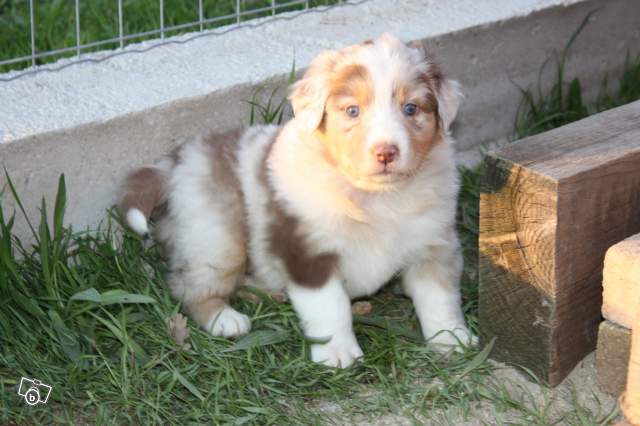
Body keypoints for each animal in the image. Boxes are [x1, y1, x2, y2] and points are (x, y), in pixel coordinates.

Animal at [121, 34, 476, 366]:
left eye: (411, 108)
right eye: (352, 111)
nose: (386, 152)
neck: (376, 198)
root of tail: (180, 158)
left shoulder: (433, 244)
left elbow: (440, 298)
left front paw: (452, 339)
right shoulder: (309, 250)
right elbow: (330, 305)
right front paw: (337, 354)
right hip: (215, 235)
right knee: (189, 285)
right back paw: (225, 319)